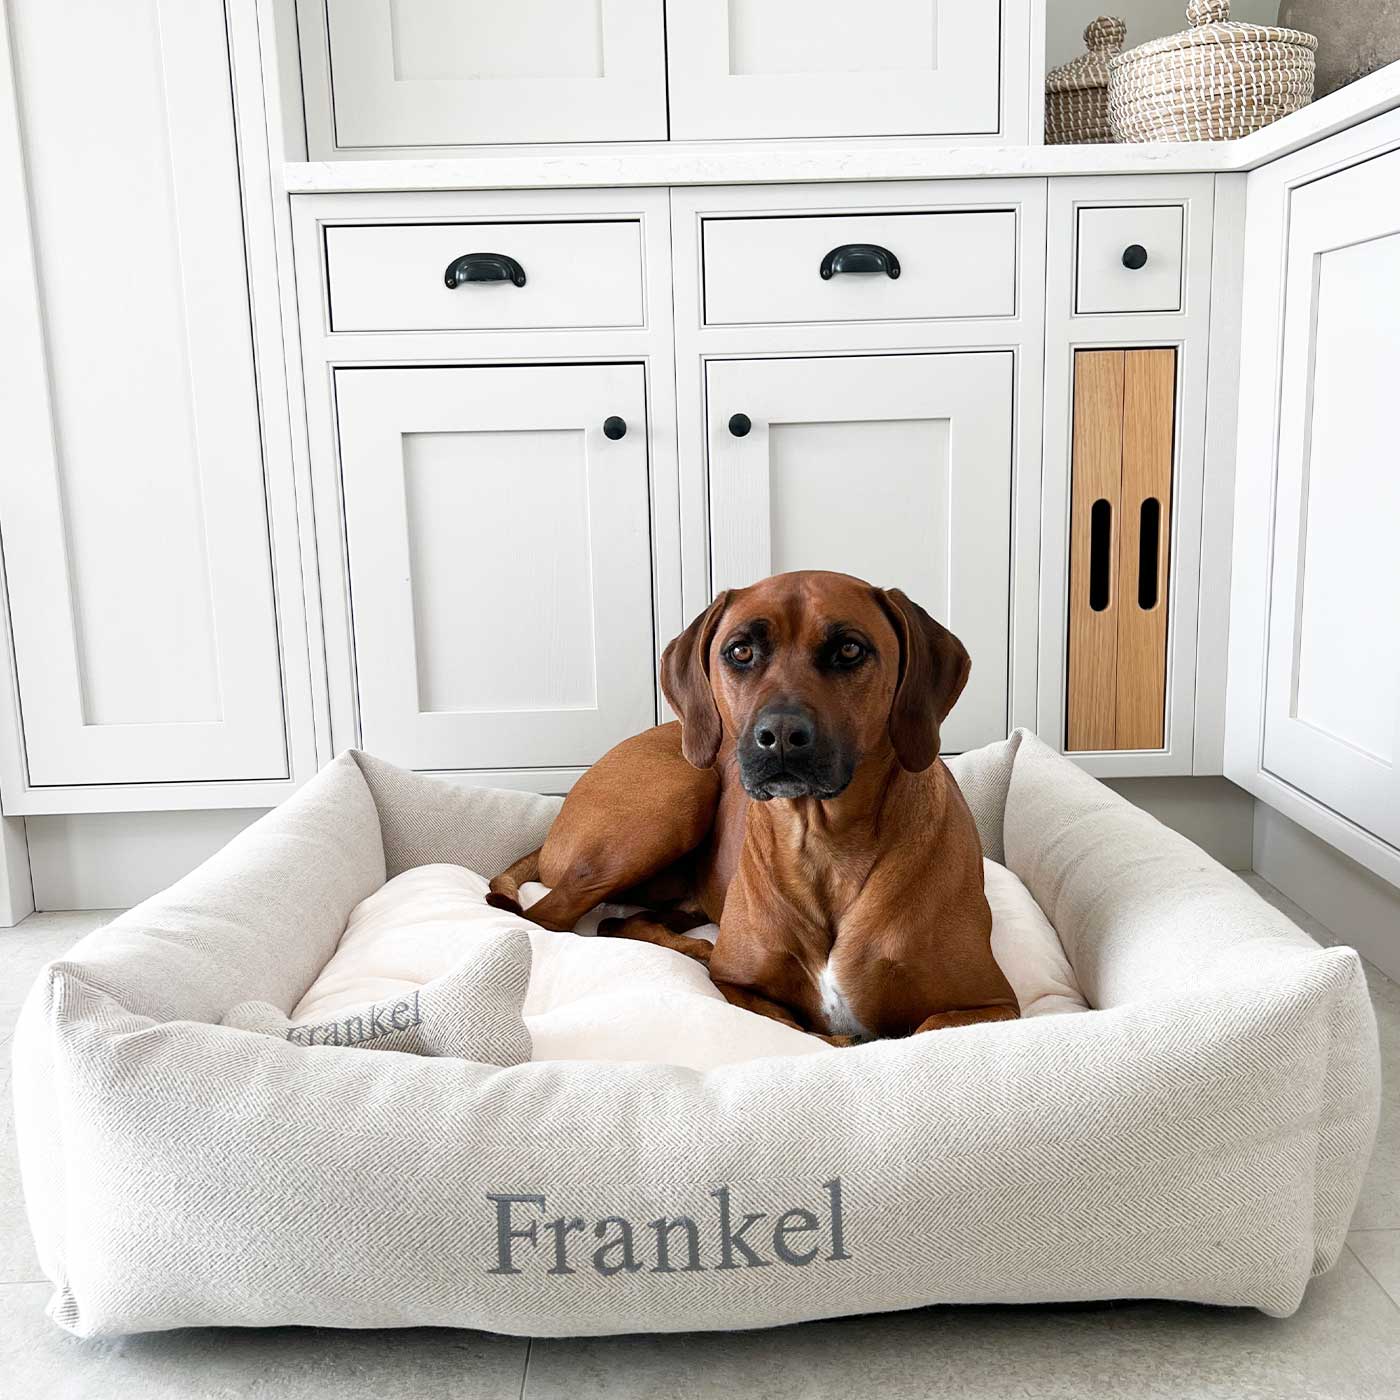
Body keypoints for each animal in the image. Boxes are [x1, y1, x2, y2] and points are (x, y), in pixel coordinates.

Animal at [490, 568, 1019, 1041]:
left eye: (849, 649)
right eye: (740, 651)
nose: (780, 735)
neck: (823, 844)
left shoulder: (992, 1005)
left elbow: (921, 1027)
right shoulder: (738, 987)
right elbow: (808, 1028)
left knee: (620, 920)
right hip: (679, 793)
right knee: (551, 919)